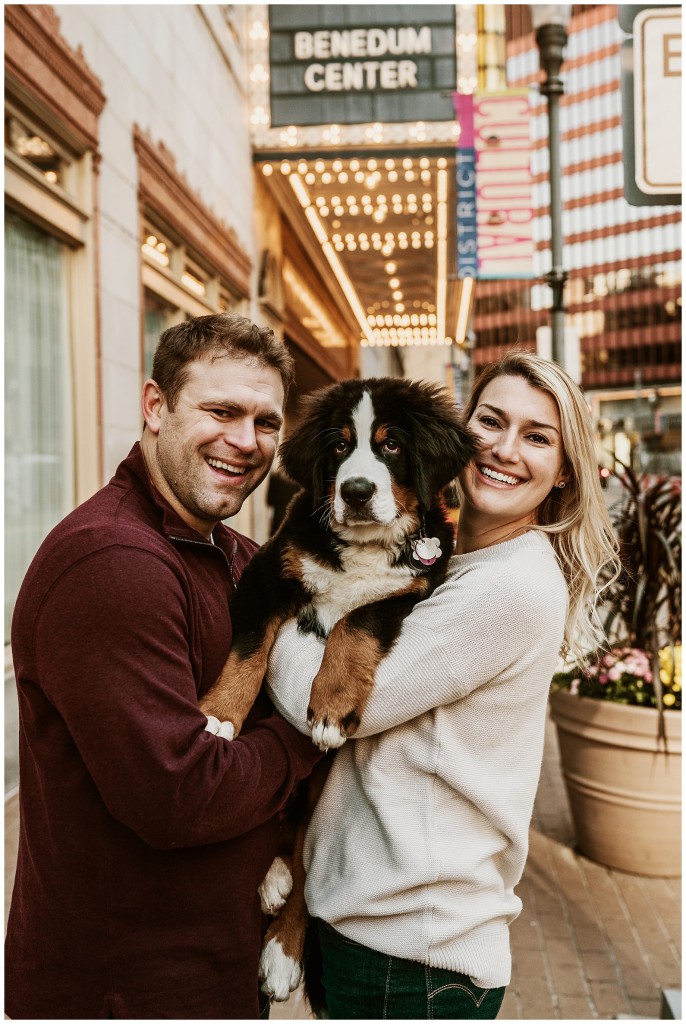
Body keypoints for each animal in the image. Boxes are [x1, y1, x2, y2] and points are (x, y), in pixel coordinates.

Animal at [201, 374, 475, 999]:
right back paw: (272, 880)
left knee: (307, 862)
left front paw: (328, 706)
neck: (367, 548)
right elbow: (247, 654)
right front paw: (220, 715)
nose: (354, 491)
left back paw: (282, 948)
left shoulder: (413, 591)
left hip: (322, 788)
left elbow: (354, 623)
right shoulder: (269, 576)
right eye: (340, 445)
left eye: (392, 444)